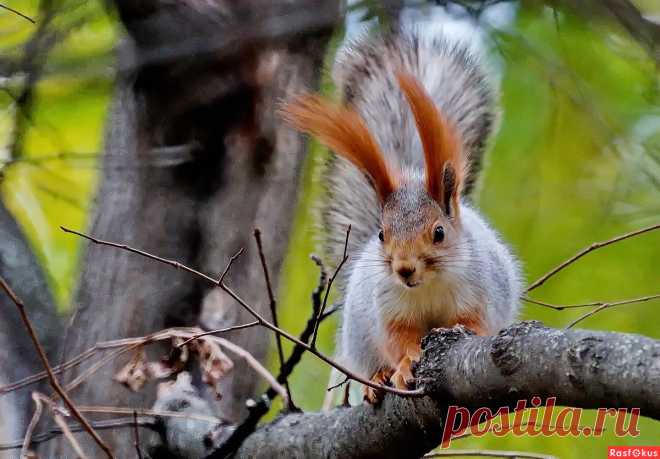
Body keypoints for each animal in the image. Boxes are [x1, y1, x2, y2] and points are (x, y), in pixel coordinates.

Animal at [282, 28, 524, 402]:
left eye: (439, 233)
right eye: (382, 234)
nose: (404, 268)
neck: (428, 287)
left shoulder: (481, 293)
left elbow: (475, 324)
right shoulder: (390, 309)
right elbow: (400, 341)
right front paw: (406, 364)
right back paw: (378, 377)